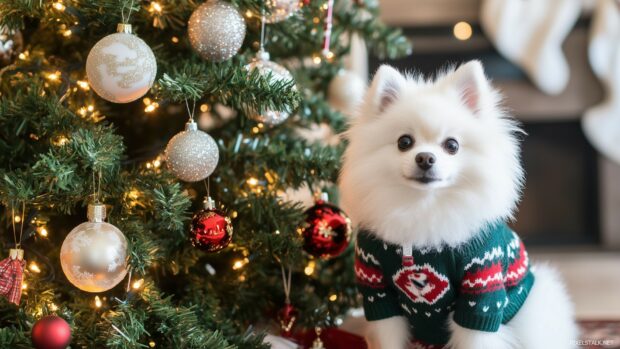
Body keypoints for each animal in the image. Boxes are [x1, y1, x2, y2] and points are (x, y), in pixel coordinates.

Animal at [340, 61, 576, 346]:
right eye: (404, 142)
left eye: (451, 145)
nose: (425, 158)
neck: (423, 207)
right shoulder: (378, 293)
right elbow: (388, 339)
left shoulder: (481, 291)